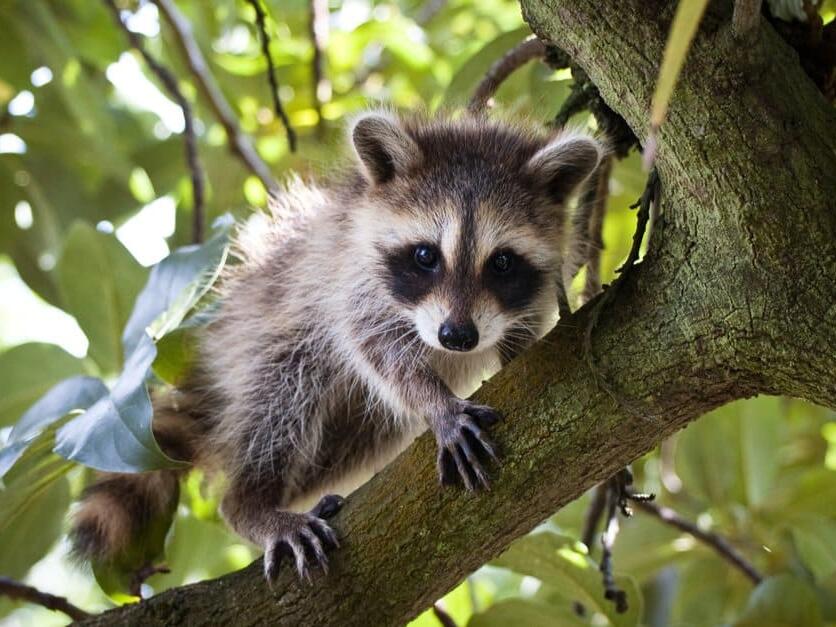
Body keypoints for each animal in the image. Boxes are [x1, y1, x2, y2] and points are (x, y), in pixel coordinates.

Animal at [70, 111, 603, 587]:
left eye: (503, 263)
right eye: (426, 255)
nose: (457, 338)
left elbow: (520, 338)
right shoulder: (348, 279)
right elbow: (375, 347)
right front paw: (437, 403)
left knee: (350, 444)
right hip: (260, 342)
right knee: (281, 401)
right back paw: (252, 502)